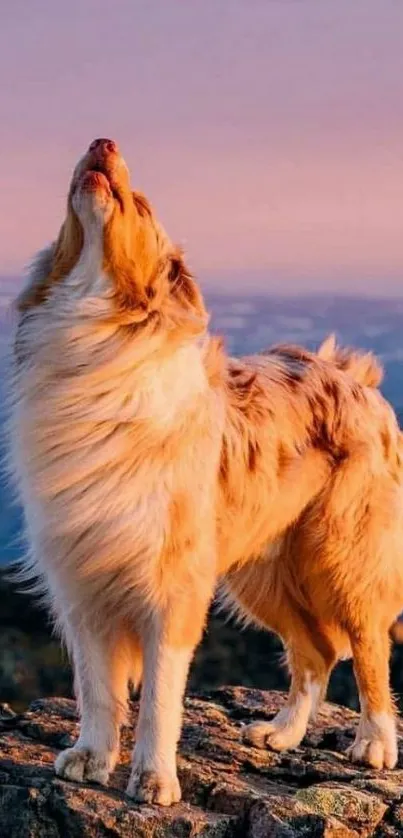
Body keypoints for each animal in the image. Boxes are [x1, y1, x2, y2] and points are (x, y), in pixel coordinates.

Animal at [11, 138, 403, 808]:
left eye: (141, 205)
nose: (102, 141)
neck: (95, 337)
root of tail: (356, 376)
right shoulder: (82, 578)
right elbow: (95, 684)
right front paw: (91, 756)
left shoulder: (174, 587)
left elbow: (160, 697)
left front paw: (153, 778)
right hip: (261, 570)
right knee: (317, 650)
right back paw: (282, 733)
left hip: (342, 553)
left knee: (367, 645)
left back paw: (374, 743)